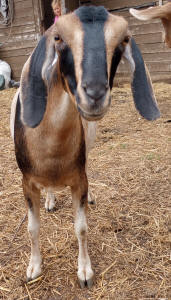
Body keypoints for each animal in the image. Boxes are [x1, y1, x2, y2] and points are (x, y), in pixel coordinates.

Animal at [10, 5, 160, 288]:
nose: (95, 93)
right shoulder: (27, 182)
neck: (51, 150)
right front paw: (34, 268)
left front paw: (85, 272)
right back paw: (50, 200)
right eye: (58, 38)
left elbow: (81, 228)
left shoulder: (78, 179)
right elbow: (32, 228)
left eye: (124, 40)